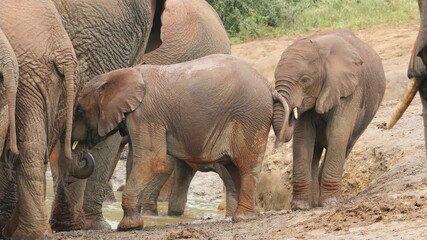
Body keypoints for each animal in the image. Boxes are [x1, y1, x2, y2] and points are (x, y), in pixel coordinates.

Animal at [69, 54, 276, 231]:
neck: (121, 74)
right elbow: (140, 160)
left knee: (245, 166)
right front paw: (133, 224)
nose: (83, 152)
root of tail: (268, 85)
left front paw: (127, 227)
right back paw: (246, 216)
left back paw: (242, 218)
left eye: (79, 111)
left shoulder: (146, 115)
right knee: (234, 168)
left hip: (250, 116)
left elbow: (153, 161)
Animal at [274, 29, 388, 210]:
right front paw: (300, 206)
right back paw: (314, 202)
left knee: (345, 144)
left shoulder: (350, 90)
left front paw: (329, 203)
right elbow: (303, 136)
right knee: (315, 150)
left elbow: (337, 133)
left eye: (305, 80)